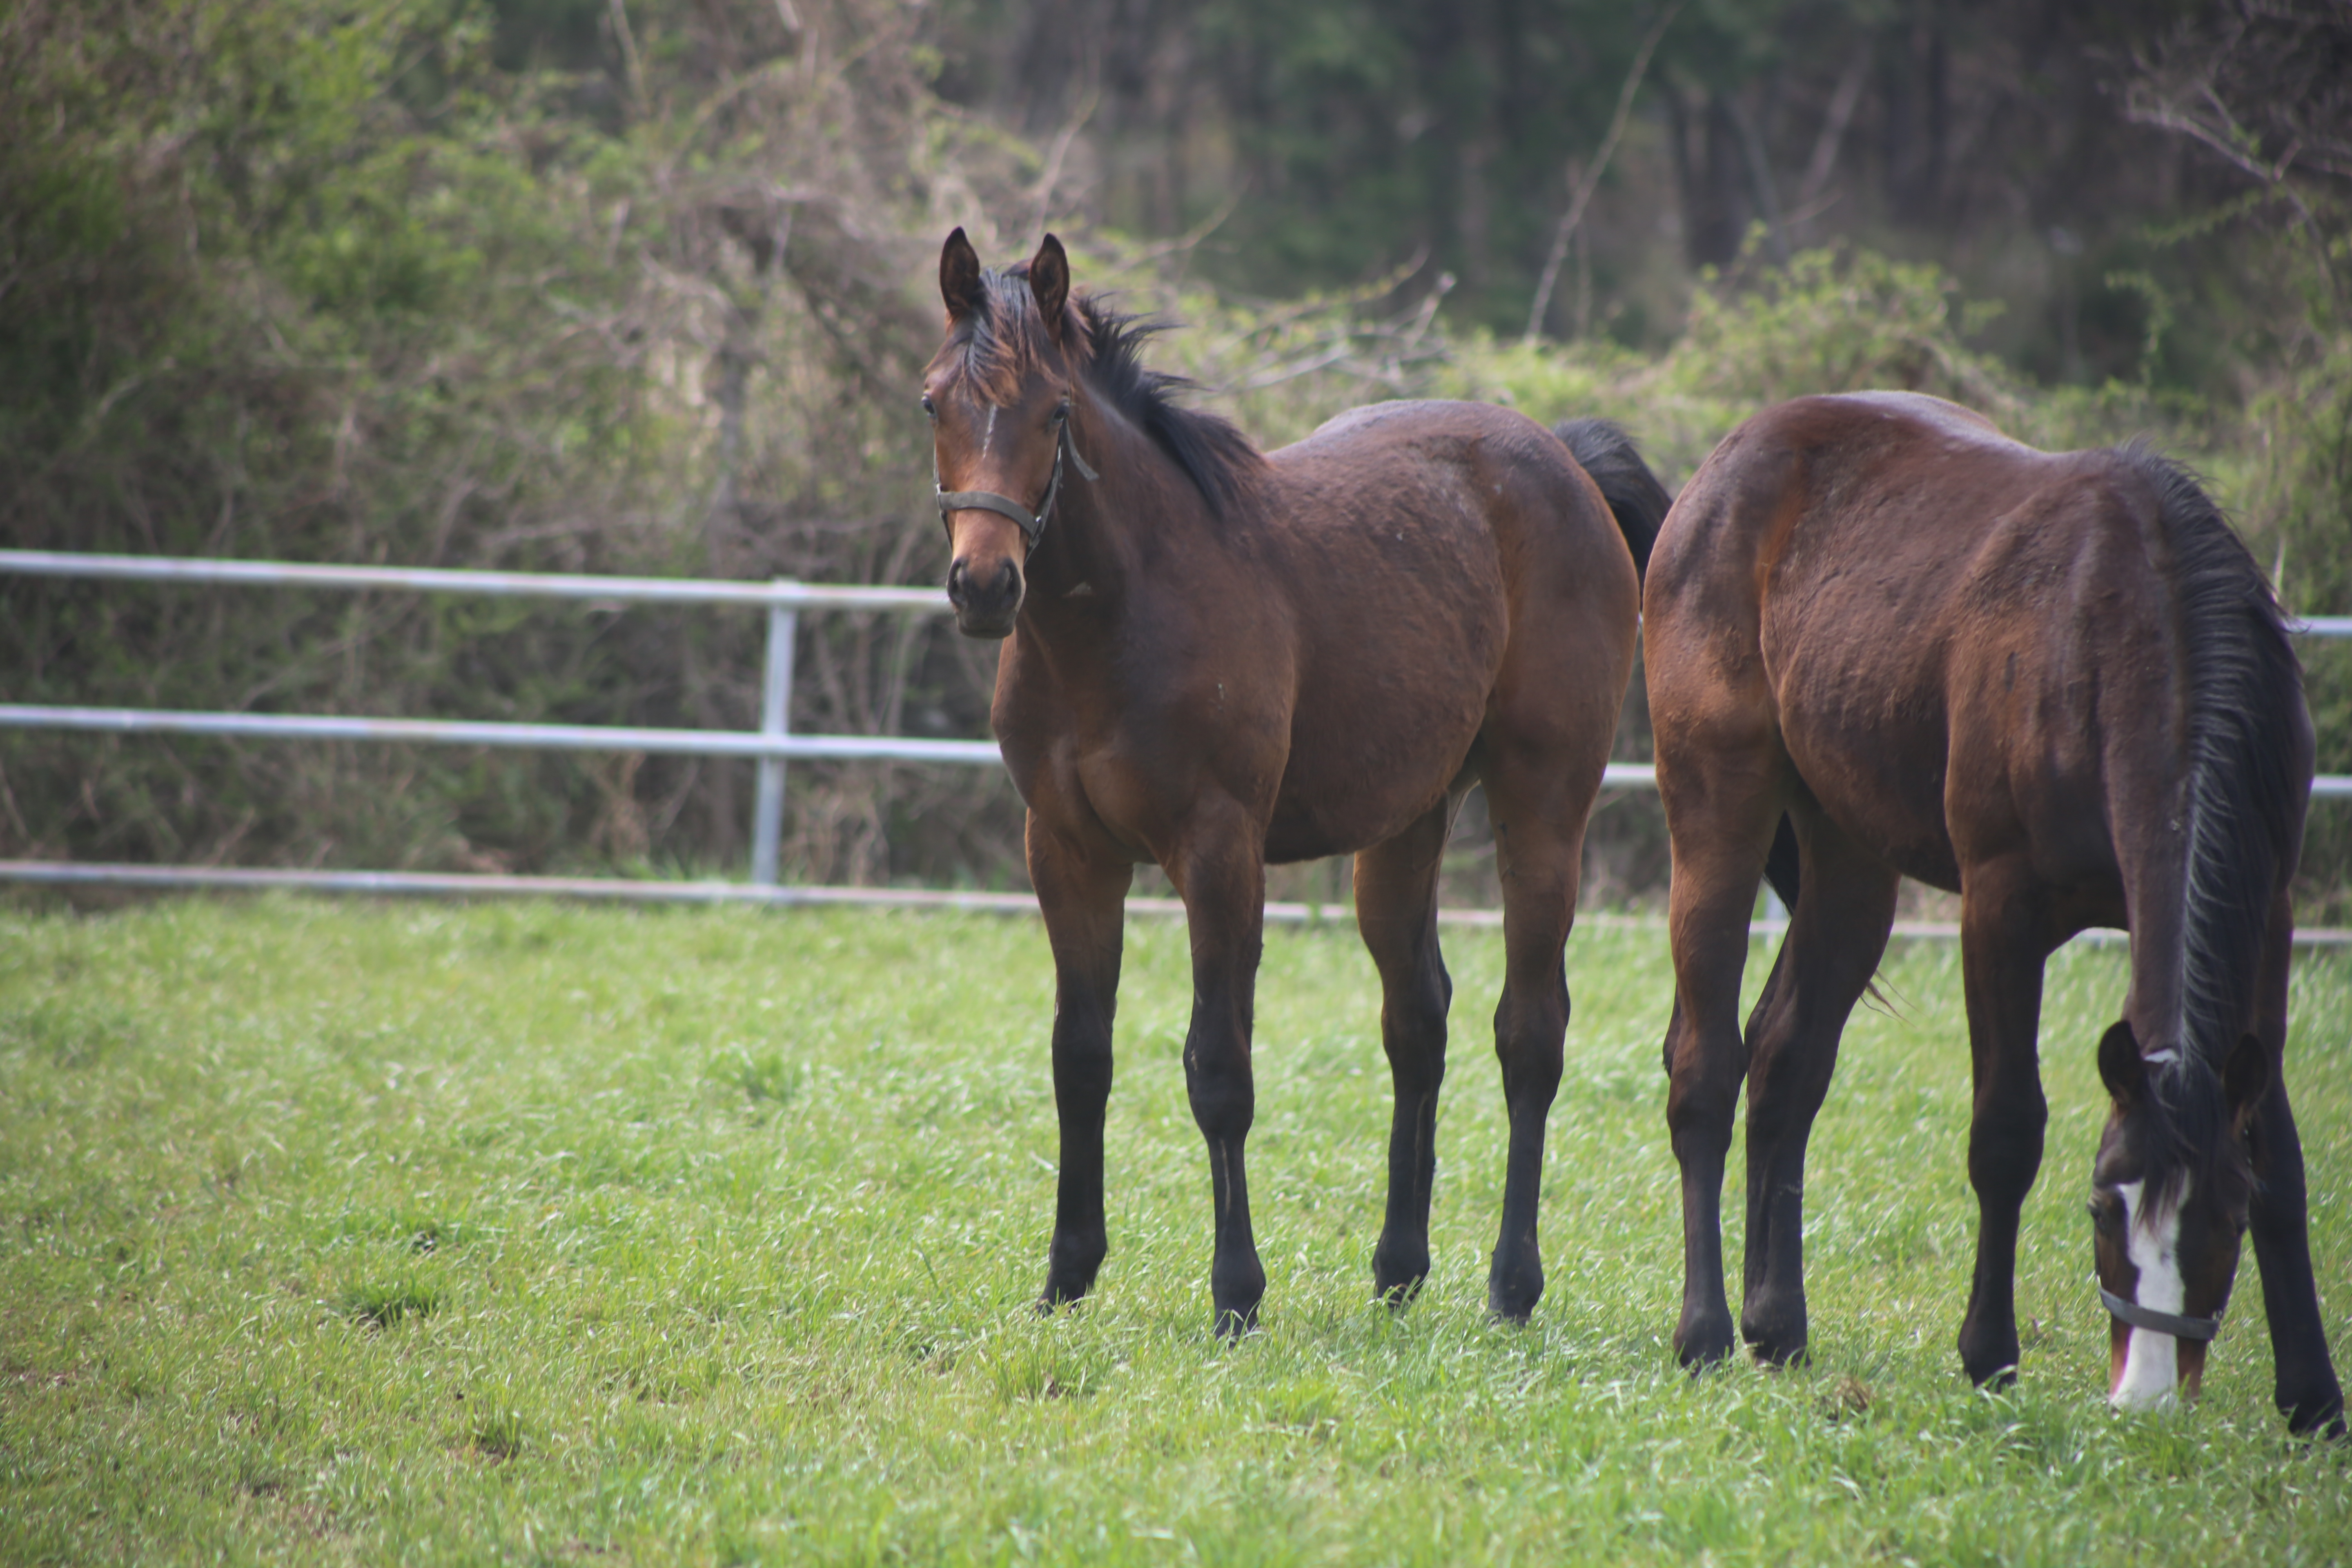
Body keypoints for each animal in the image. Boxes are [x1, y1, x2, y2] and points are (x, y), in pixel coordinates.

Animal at [917, 230, 1656, 1335]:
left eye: (1053, 411)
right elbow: (1079, 1058)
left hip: (1543, 808)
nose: (983, 586)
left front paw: (1236, 1294)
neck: (1118, 618)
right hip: (1406, 824)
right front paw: (1065, 1277)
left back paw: (1510, 1285)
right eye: (933, 403)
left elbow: (1218, 1069)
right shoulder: (1068, 852)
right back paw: (1397, 1272)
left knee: (1530, 1030)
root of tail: (1565, 459)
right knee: (1417, 1021)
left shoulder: (1219, 851)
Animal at [1646, 392, 2342, 1439]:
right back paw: (1704, 1331)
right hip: (1716, 809)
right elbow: (2006, 1130)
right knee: (1706, 1063)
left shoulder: (2264, 916)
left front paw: (2312, 1396)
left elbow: (2281, 1156)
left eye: (2221, 1214)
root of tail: (1725, 465)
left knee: (1785, 1059)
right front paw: (1987, 1353)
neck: (2129, 634)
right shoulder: (2000, 907)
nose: (2145, 1393)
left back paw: (1777, 1325)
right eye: (2101, 1209)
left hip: (1850, 857)